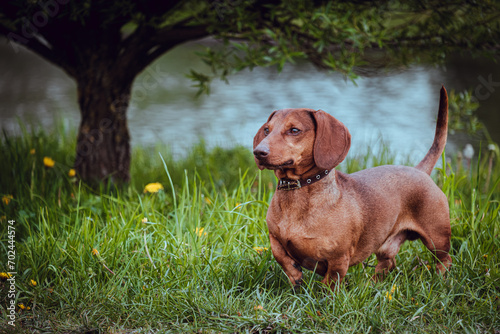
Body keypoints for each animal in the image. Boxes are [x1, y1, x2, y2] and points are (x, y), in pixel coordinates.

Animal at [254, 86, 454, 290]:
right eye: (267, 130)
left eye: (294, 130)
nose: (258, 152)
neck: (297, 192)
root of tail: (420, 170)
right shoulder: (274, 237)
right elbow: (280, 255)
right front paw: (295, 276)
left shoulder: (338, 257)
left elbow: (331, 281)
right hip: (387, 246)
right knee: (388, 263)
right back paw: (372, 286)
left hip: (436, 237)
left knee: (445, 260)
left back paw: (441, 281)